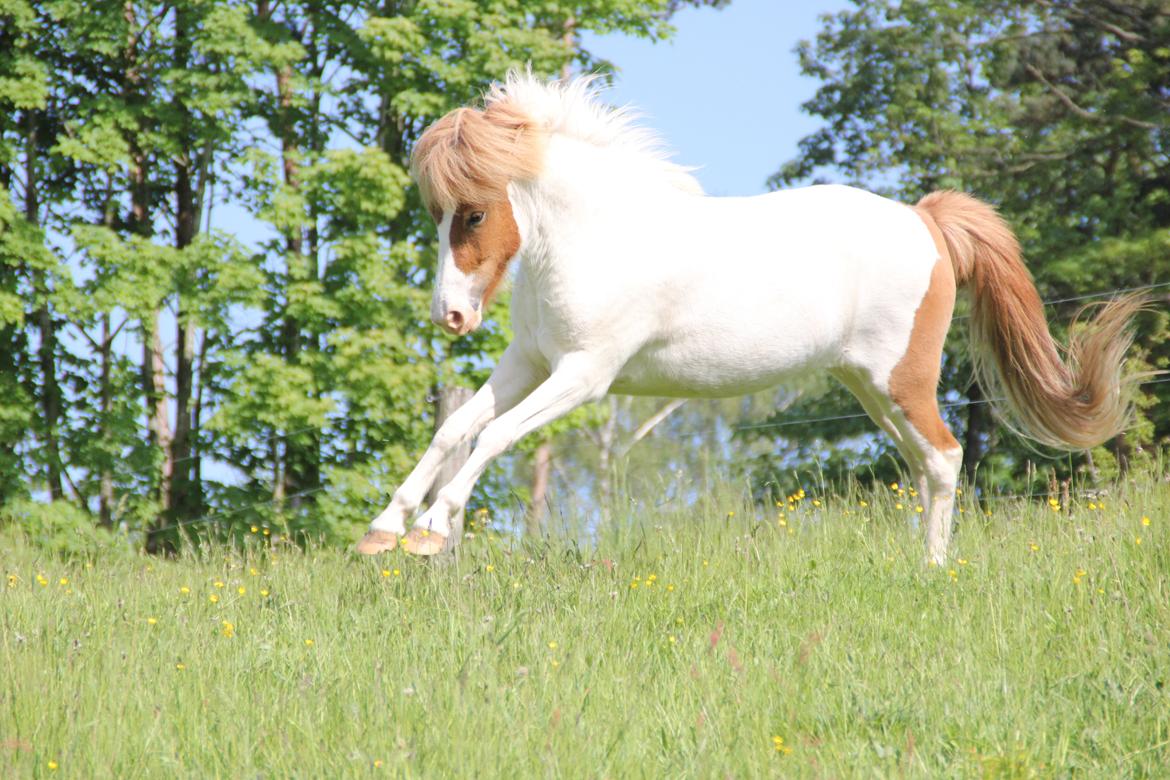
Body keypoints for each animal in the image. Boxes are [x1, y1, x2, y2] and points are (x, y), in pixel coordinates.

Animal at [355, 73, 1141, 563]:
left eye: (473, 213)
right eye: (436, 214)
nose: (451, 316)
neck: (595, 239)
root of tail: (924, 221)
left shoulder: (584, 375)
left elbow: (491, 437)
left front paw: (431, 530)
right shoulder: (529, 363)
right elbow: (456, 428)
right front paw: (384, 528)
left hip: (903, 379)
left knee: (945, 460)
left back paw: (933, 570)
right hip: (870, 388)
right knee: (925, 463)